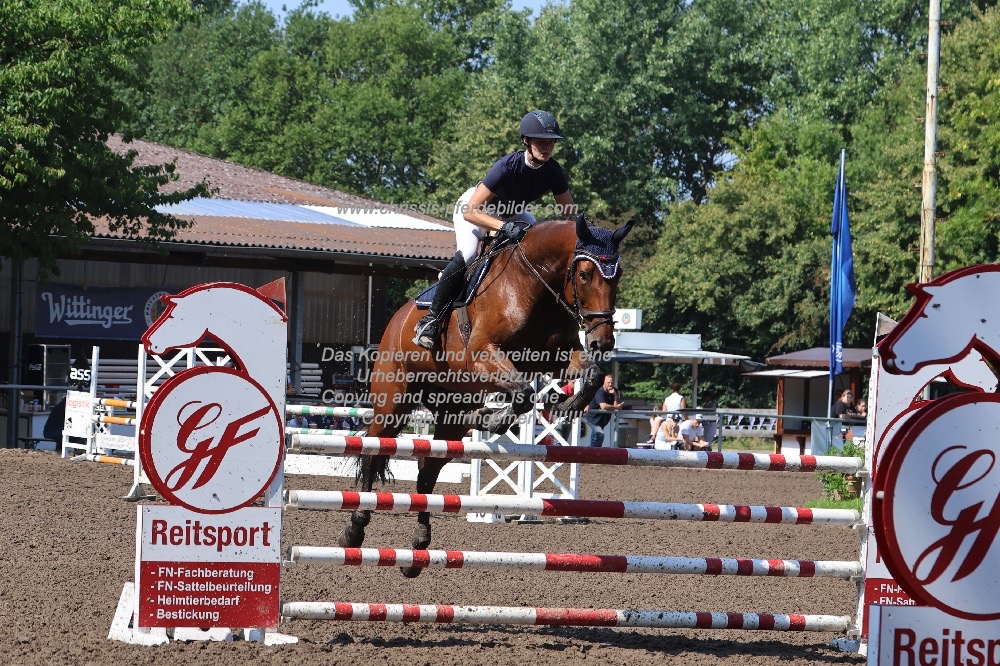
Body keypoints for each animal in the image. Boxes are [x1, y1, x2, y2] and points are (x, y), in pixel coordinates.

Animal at [336, 211, 632, 572]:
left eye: (618, 276)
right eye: (586, 274)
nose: (602, 341)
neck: (535, 284)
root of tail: (398, 318)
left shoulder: (553, 357)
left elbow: (592, 373)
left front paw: (568, 406)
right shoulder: (483, 355)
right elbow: (524, 393)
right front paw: (497, 420)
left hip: (451, 409)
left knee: (428, 469)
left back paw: (419, 546)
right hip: (393, 404)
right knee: (373, 451)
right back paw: (355, 528)